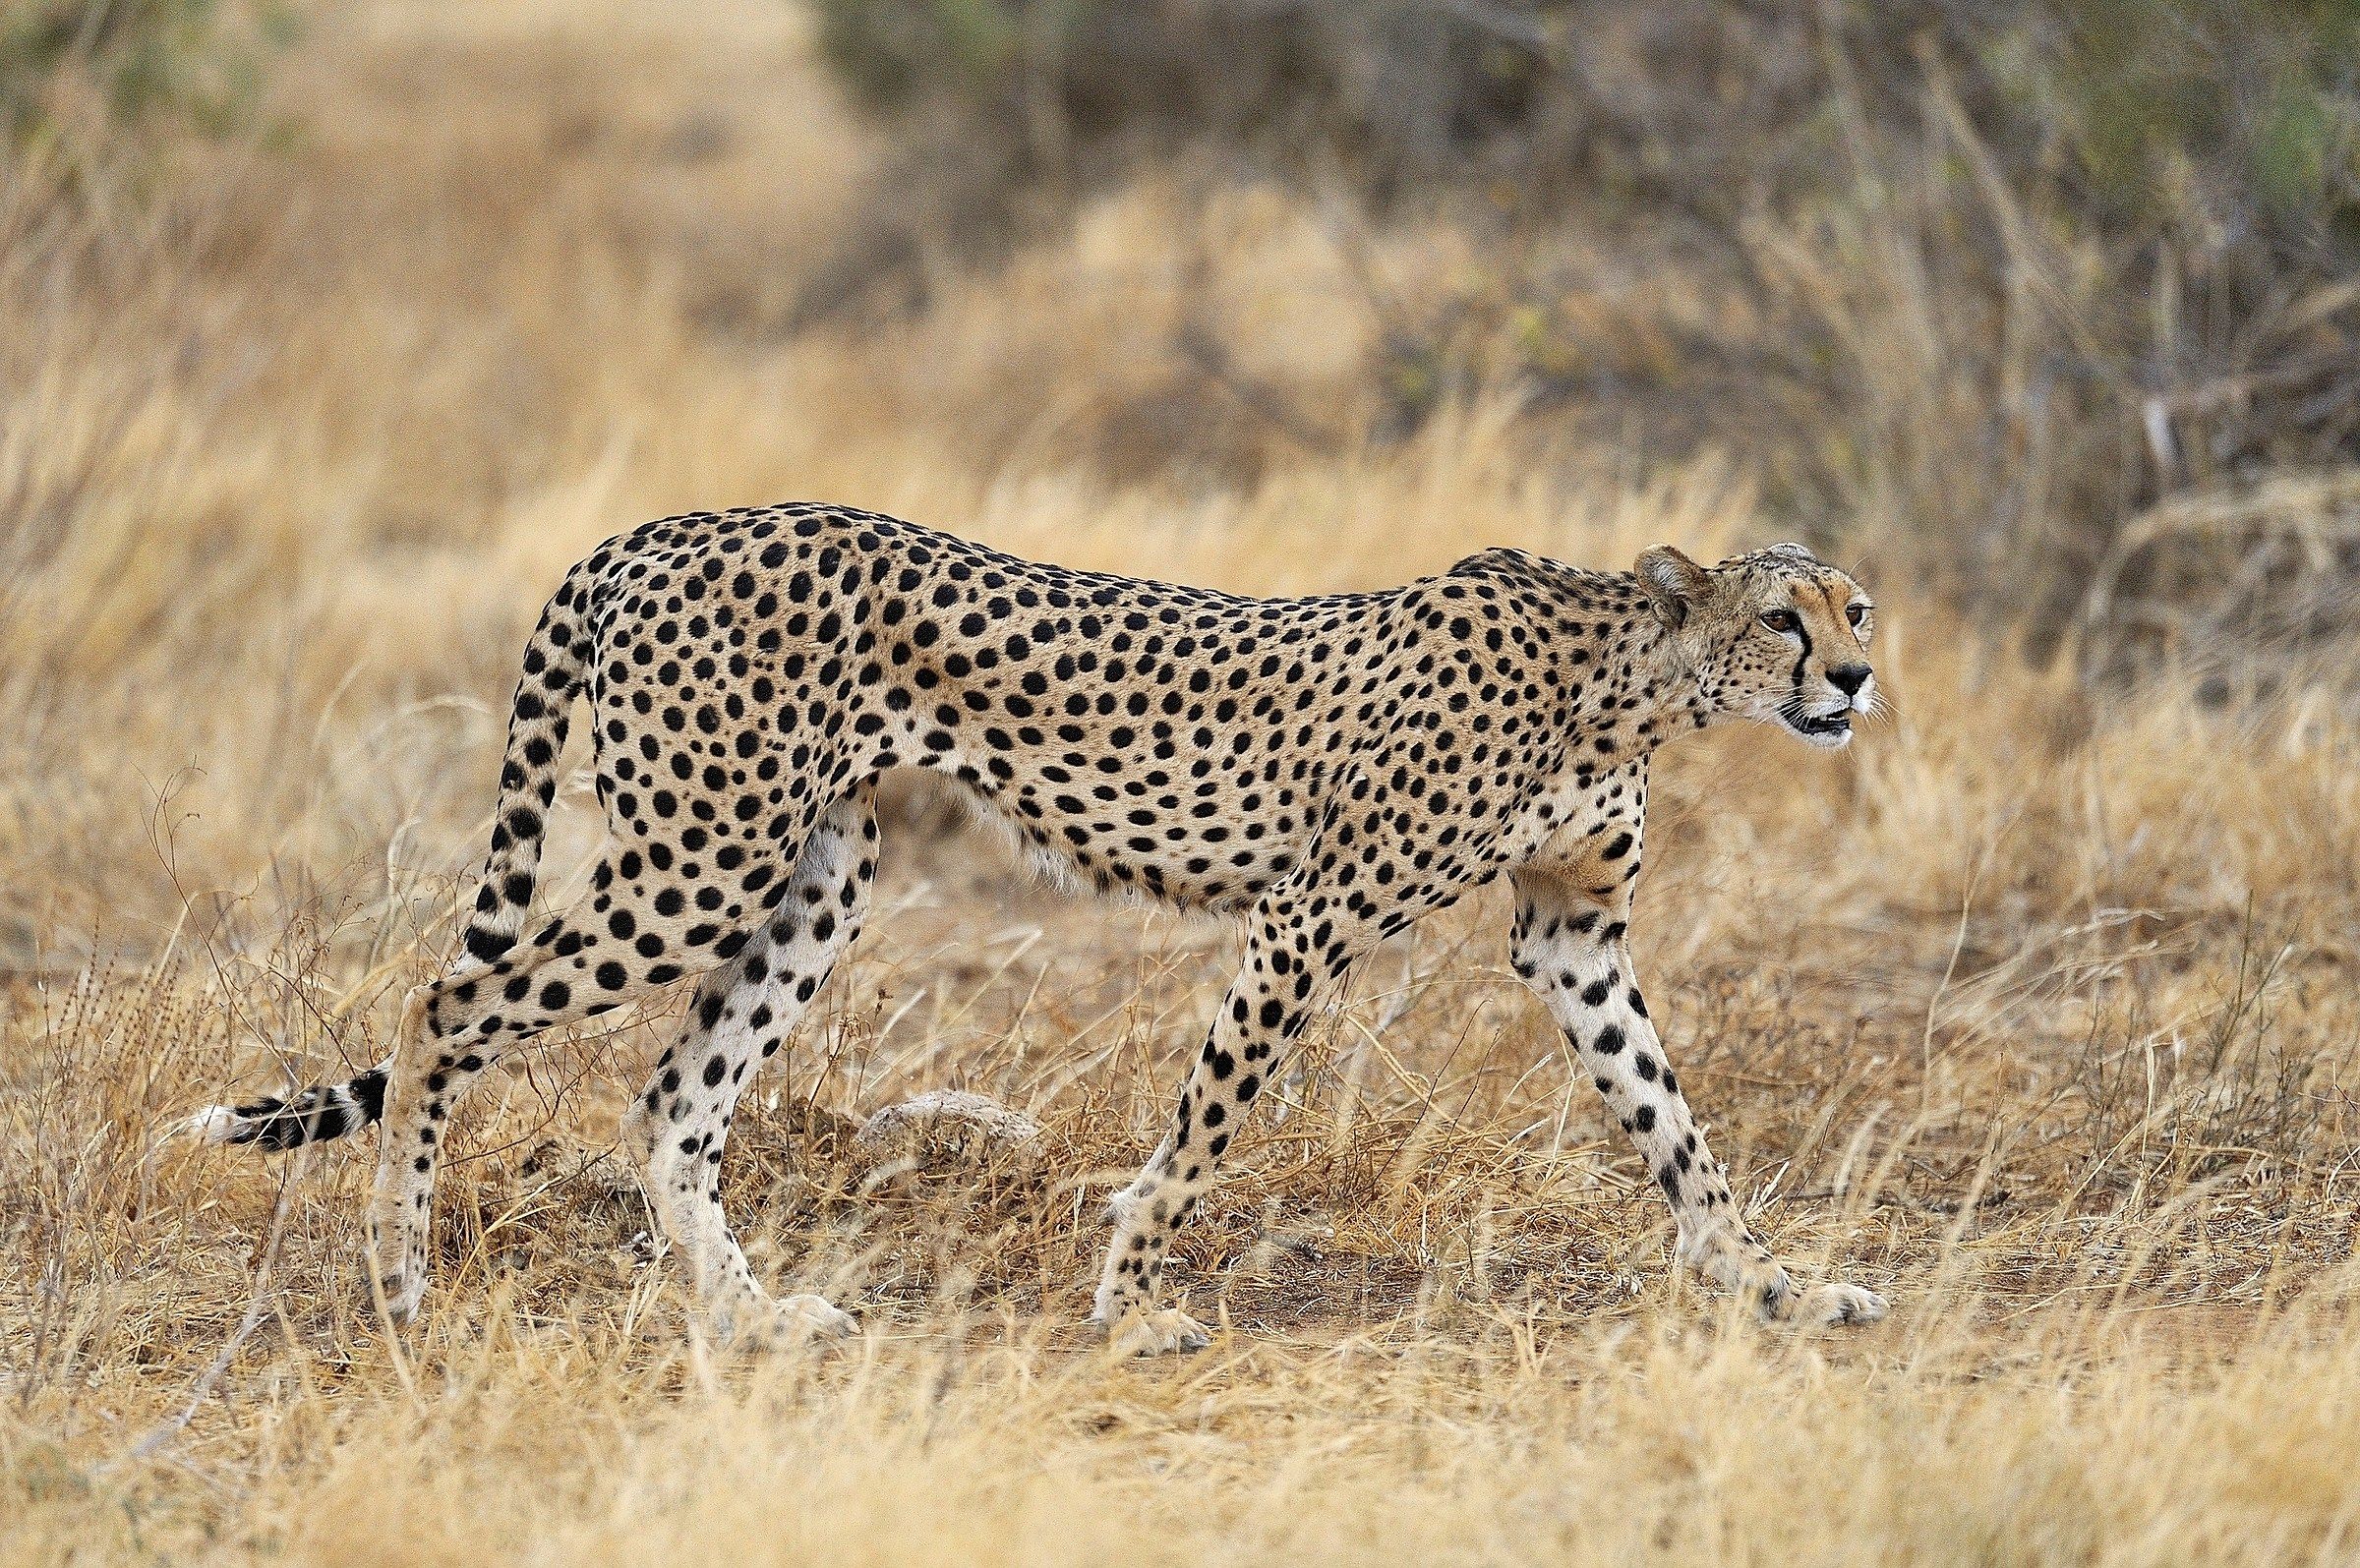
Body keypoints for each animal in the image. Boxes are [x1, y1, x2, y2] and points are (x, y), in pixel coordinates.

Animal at [192, 503, 1889, 1354]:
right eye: (1785, 616)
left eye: (1858, 608)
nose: (1860, 680)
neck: (1632, 676)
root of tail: (657, 527)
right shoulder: (1308, 915)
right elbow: (1204, 1129)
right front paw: (1130, 1299)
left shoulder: (1571, 934)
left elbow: (1675, 1121)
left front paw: (1772, 1282)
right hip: (699, 854)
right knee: (439, 1008)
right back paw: (402, 1283)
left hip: (815, 871)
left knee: (673, 1101)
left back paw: (755, 1314)